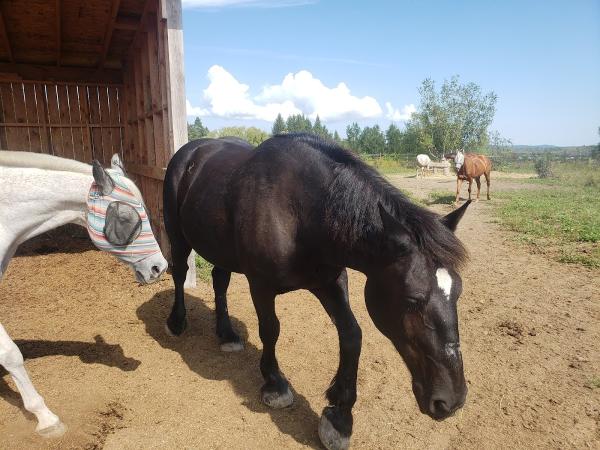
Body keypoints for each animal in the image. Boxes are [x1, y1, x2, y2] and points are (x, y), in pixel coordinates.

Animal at [163, 134, 468, 450]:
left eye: (458, 291)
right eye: (412, 299)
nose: (450, 401)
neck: (300, 212)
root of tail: (192, 150)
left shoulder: (330, 283)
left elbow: (351, 335)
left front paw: (339, 417)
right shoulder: (260, 285)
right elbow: (270, 330)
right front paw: (275, 384)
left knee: (219, 281)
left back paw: (227, 335)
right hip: (177, 233)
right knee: (179, 272)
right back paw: (176, 322)